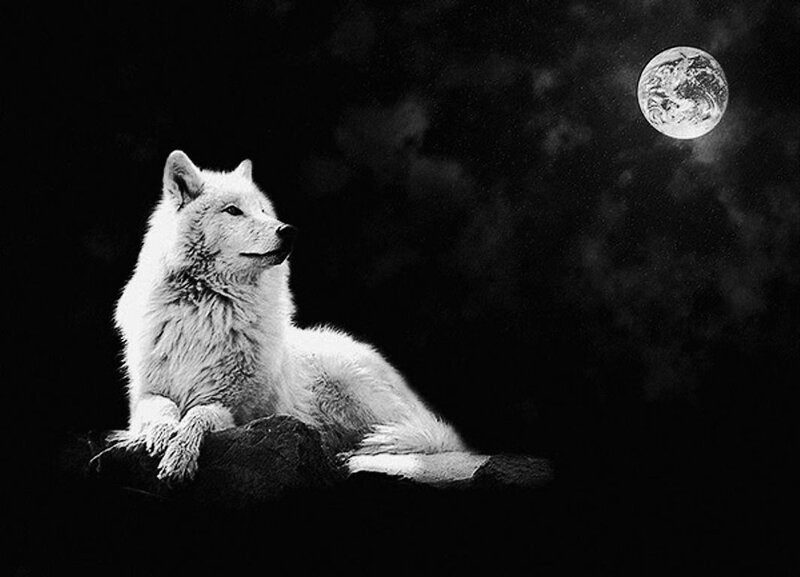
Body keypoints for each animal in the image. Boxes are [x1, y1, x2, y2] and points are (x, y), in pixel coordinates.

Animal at [112, 150, 488, 483]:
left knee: (429, 439)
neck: (210, 310)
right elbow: (162, 411)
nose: (287, 230)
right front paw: (161, 439)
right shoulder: (146, 396)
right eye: (234, 211)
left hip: (350, 386)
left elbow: (198, 417)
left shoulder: (239, 408)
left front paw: (180, 456)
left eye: (264, 210)